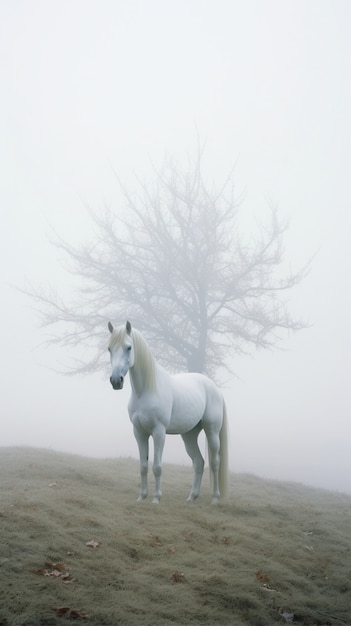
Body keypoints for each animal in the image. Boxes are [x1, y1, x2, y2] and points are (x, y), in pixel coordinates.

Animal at [108, 322, 230, 502]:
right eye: (109, 348)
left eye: (129, 347)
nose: (116, 381)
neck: (147, 390)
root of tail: (214, 388)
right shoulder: (139, 433)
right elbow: (143, 466)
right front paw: (141, 497)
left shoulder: (159, 432)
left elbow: (157, 467)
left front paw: (156, 498)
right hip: (189, 435)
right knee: (198, 462)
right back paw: (192, 497)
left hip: (212, 432)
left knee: (215, 462)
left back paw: (215, 498)